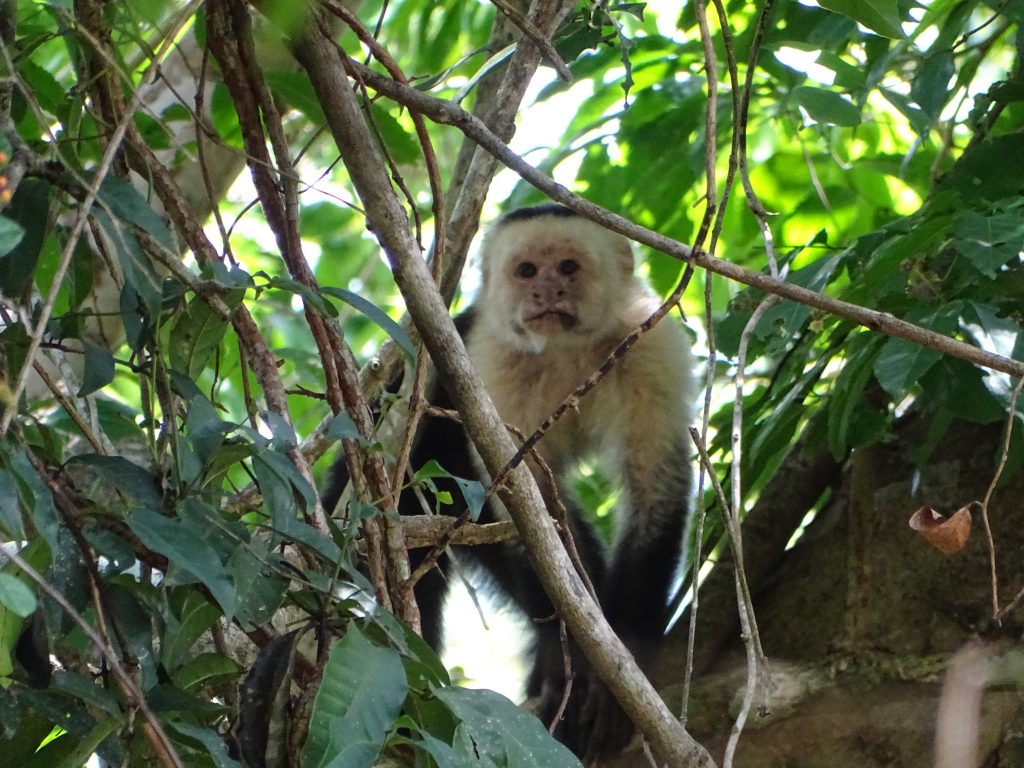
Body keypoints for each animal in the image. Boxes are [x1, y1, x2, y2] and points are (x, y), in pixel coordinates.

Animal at [325, 204, 696, 765]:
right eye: (526, 271)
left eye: (567, 267)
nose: (546, 292)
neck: (566, 350)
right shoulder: (490, 359)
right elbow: (525, 503)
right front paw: (579, 665)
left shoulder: (648, 344)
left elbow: (656, 485)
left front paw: (626, 645)